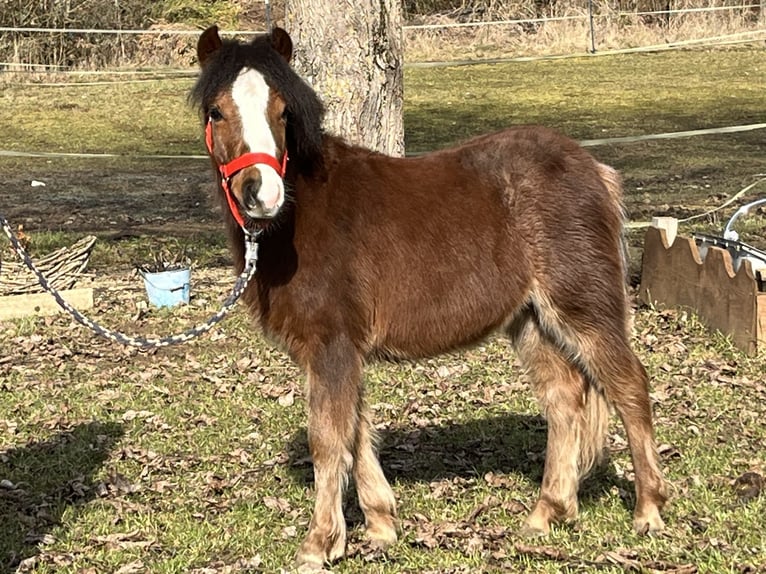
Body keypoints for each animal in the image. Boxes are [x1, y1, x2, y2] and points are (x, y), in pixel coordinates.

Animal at [194, 24, 672, 568]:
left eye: (282, 112)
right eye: (216, 111)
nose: (262, 194)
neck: (295, 220)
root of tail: (595, 169)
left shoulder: (331, 345)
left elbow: (329, 438)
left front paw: (320, 543)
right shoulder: (342, 350)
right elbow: (356, 429)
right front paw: (381, 526)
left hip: (583, 308)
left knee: (629, 387)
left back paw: (648, 510)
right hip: (531, 319)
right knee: (564, 397)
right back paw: (547, 513)